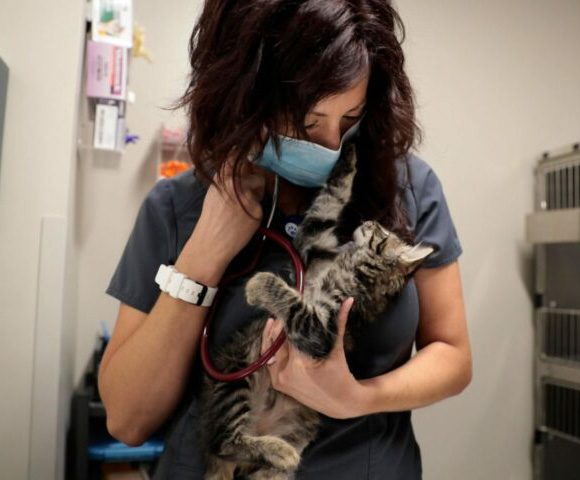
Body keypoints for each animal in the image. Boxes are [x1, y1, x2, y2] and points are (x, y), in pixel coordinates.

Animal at [197, 143, 432, 480]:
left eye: (380, 231)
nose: (367, 221)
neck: (351, 267)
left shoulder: (321, 329)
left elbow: (295, 303)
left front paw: (259, 283)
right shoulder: (314, 246)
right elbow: (328, 203)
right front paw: (347, 157)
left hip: (254, 397)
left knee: (225, 442)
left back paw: (282, 454)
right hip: (237, 373)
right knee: (223, 441)